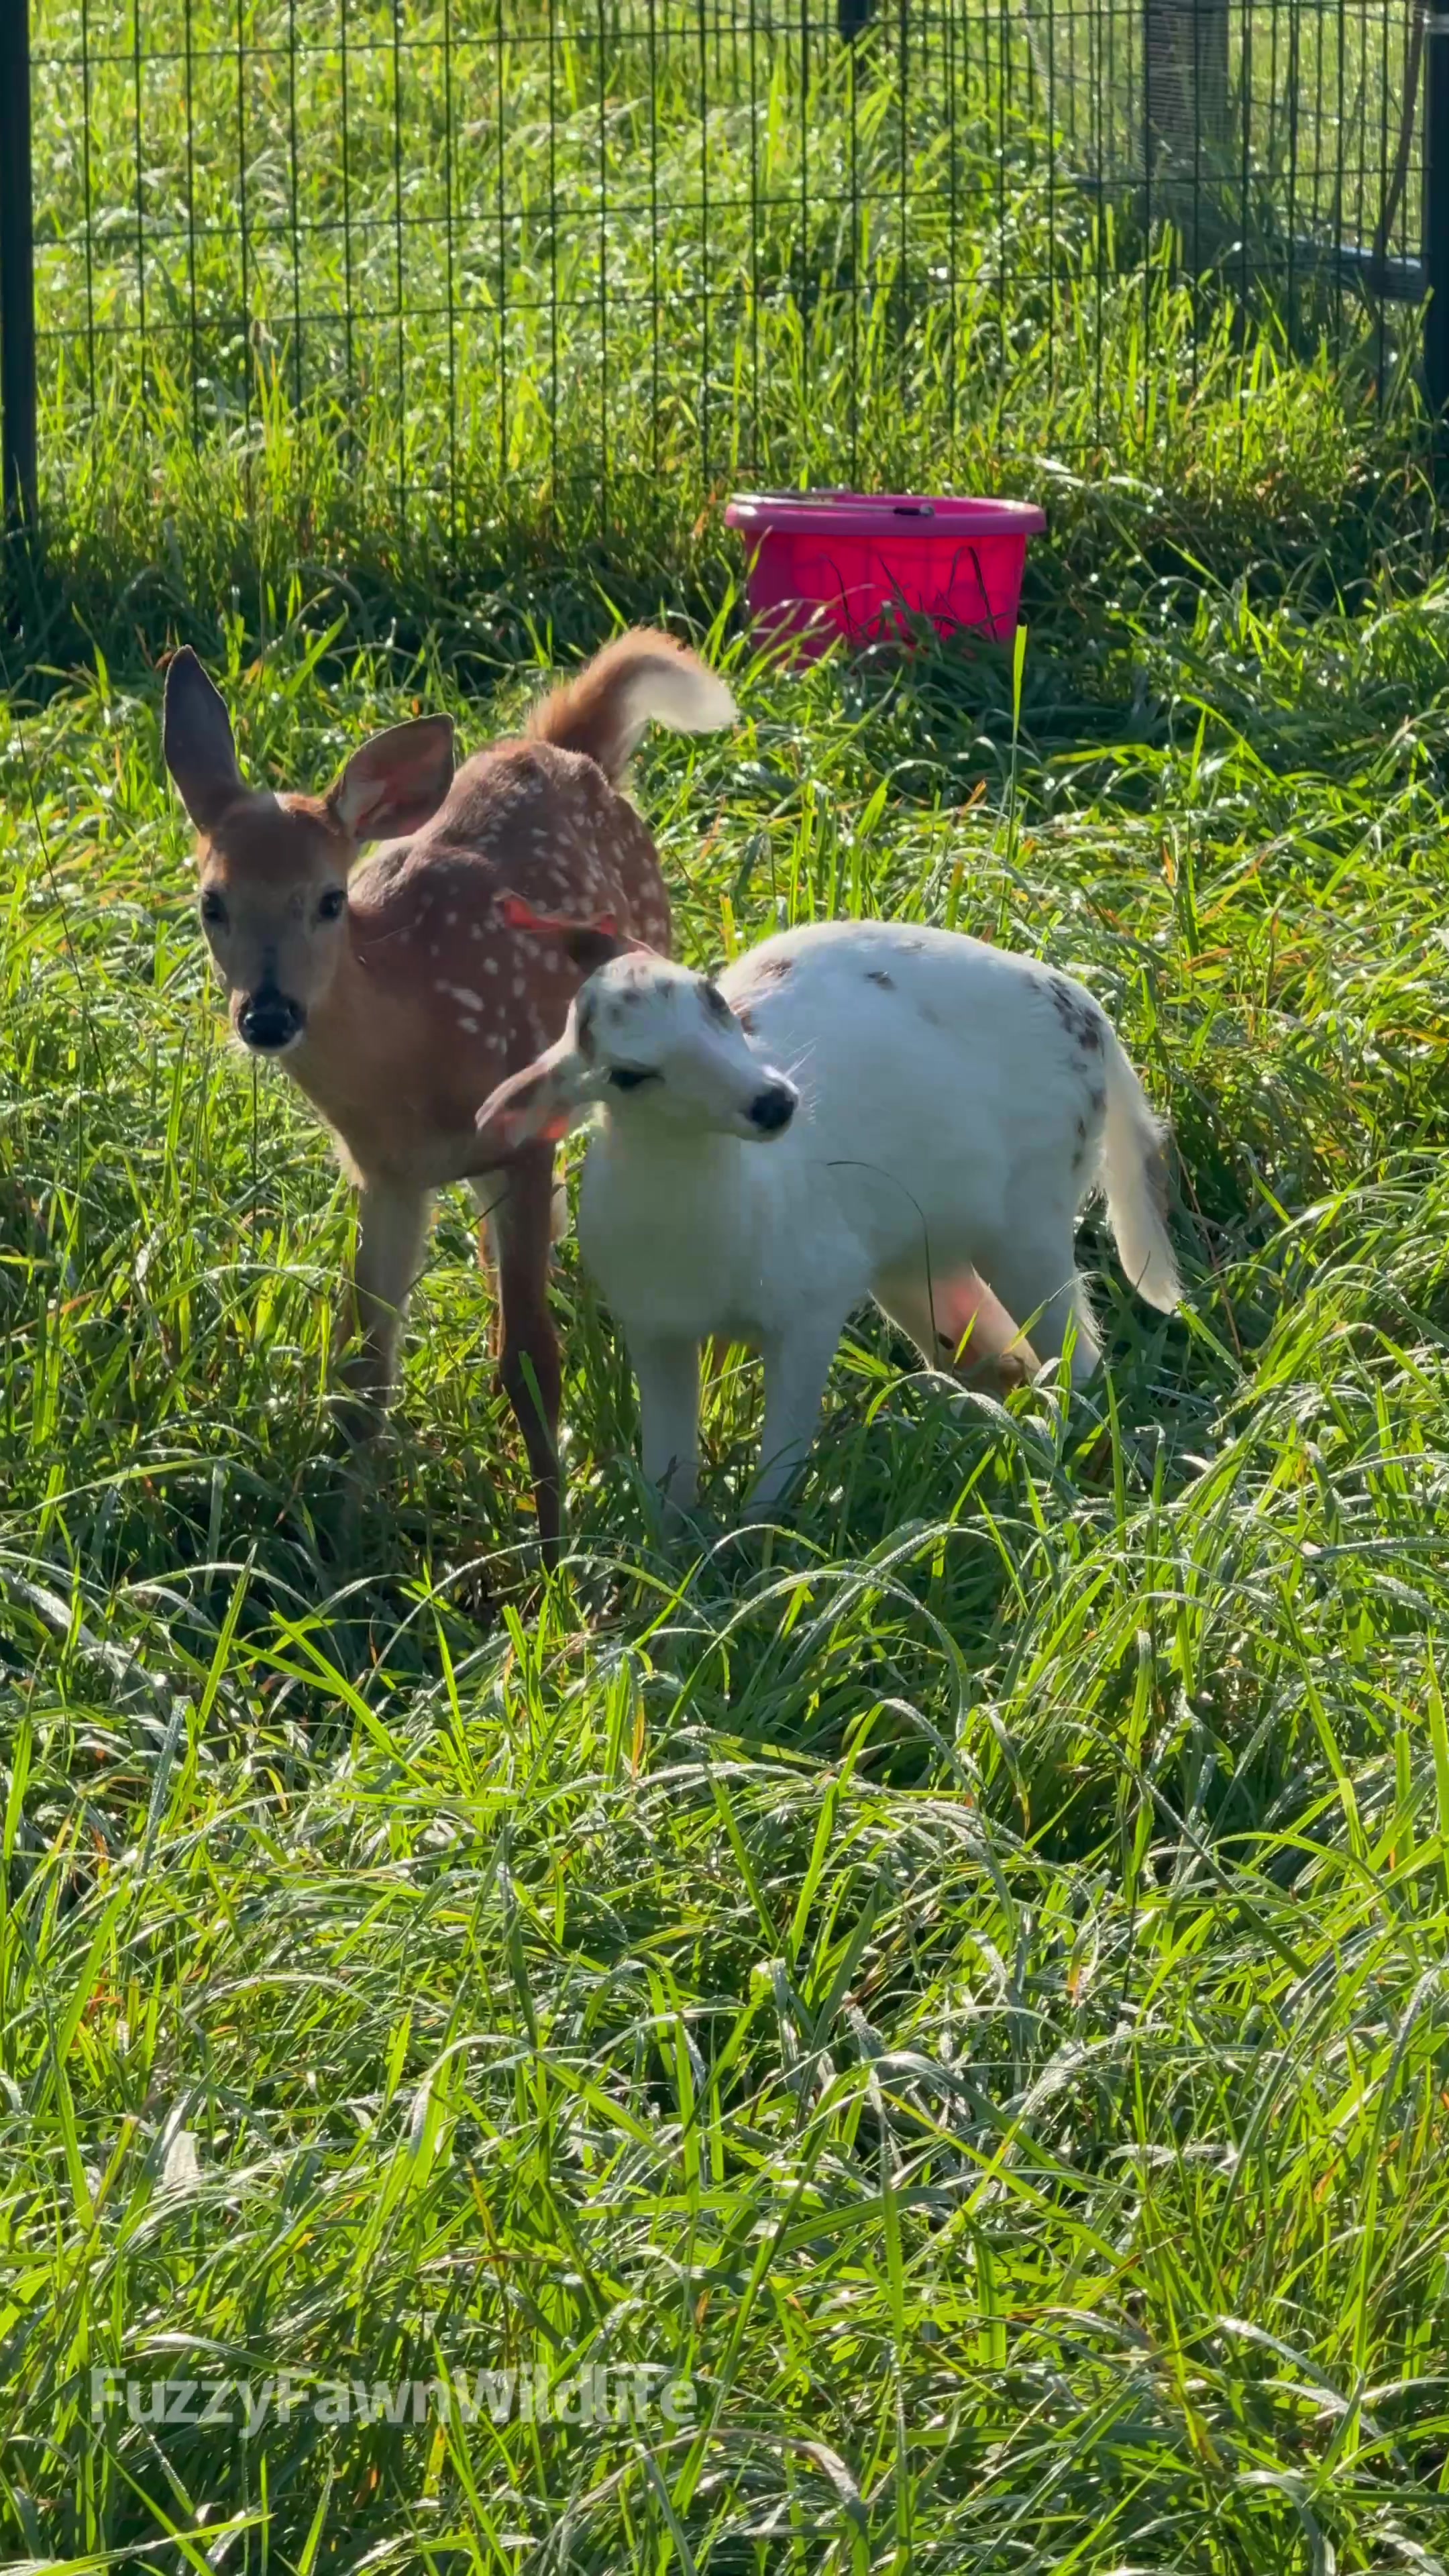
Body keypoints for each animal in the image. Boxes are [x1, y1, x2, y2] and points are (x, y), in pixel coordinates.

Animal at [160, 630, 735, 1558]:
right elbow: (364, 1373)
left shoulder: (523, 1144)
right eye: (213, 903)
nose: (270, 1013)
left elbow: (531, 1362)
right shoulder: (387, 1178)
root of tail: (563, 747)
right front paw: (342, 1548)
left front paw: (553, 1559)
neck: (418, 1043)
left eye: (330, 900)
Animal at [472, 911, 1181, 1521]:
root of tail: (1088, 1014)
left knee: (1076, 1359)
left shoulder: (808, 1313)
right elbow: (669, 1473)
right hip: (916, 1259)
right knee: (989, 1350)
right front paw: (674, 1561)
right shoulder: (657, 1330)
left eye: (714, 1000)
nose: (774, 1103)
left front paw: (756, 1549)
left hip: (1027, 1226)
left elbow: (779, 1463)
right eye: (628, 1075)